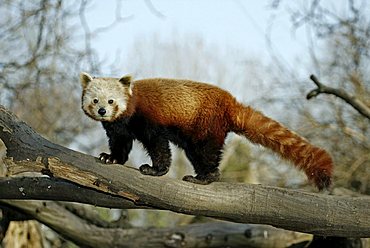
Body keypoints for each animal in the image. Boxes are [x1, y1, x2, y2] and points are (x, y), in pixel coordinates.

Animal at [80, 71, 332, 190]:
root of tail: (230, 102)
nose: (102, 110)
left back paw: (205, 177)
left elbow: (159, 146)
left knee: (207, 153)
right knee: (197, 154)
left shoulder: (149, 121)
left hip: (205, 125)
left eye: (111, 101)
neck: (127, 116)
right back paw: (201, 174)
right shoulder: (118, 128)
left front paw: (155, 169)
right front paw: (111, 157)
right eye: (95, 100)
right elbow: (120, 143)